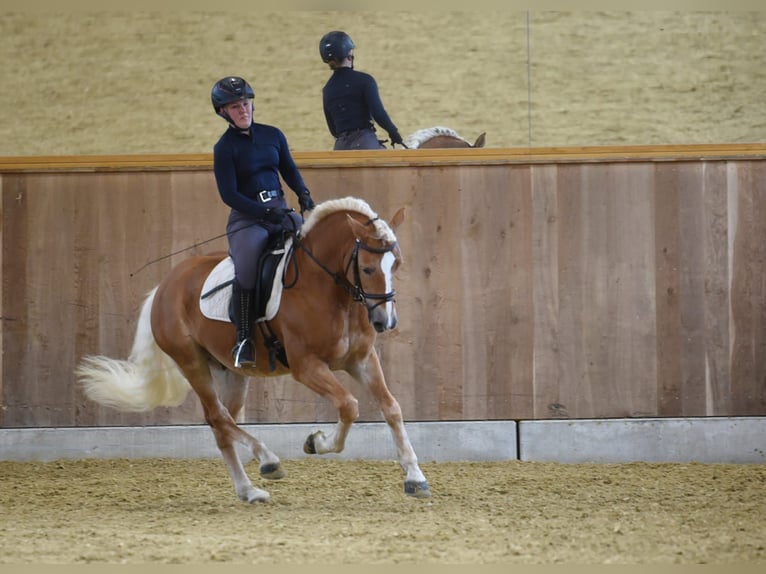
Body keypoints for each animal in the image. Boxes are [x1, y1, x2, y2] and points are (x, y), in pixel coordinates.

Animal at [77, 197, 432, 504]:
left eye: (397, 265)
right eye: (369, 269)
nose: (386, 321)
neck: (328, 290)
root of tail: (165, 286)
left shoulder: (361, 360)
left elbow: (391, 407)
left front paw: (415, 477)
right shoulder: (306, 366)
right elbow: (348, 405)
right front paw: (316, 442)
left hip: (232, 371)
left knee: (222, 426)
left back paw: (248, 490)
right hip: (191, 362)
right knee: (218, 417)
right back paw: (267, 460)